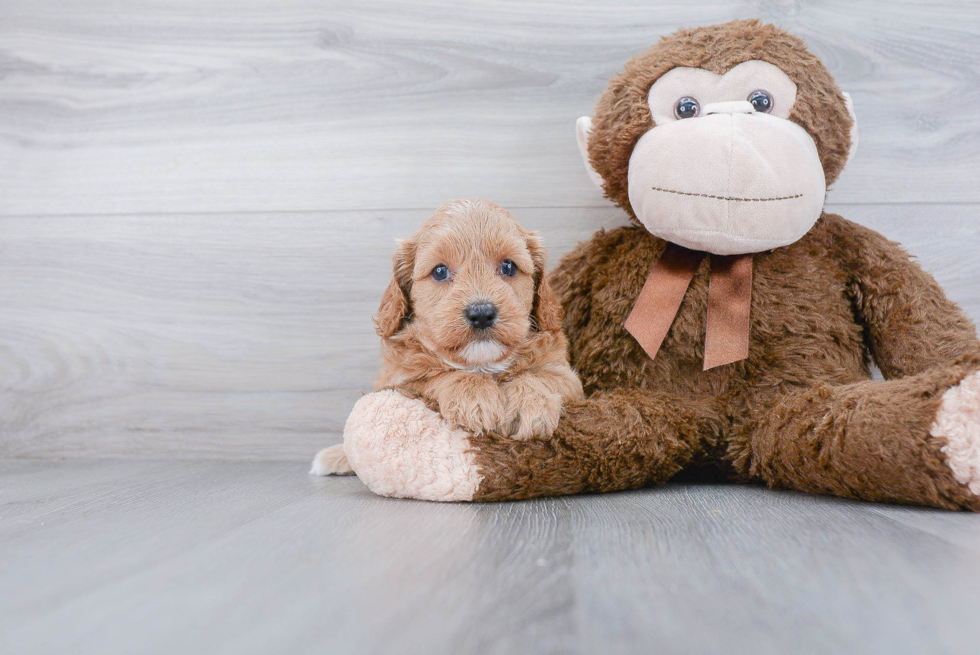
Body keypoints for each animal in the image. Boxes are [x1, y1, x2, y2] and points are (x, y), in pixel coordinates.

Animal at [310, 199, 580, 476]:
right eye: (439, 271)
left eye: (508, 267)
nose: (481, 313)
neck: (482, 365)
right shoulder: (399, 381)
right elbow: (437, 376)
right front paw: (474, 397)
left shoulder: (568, 377)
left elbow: (539, 375)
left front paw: (530, 404)